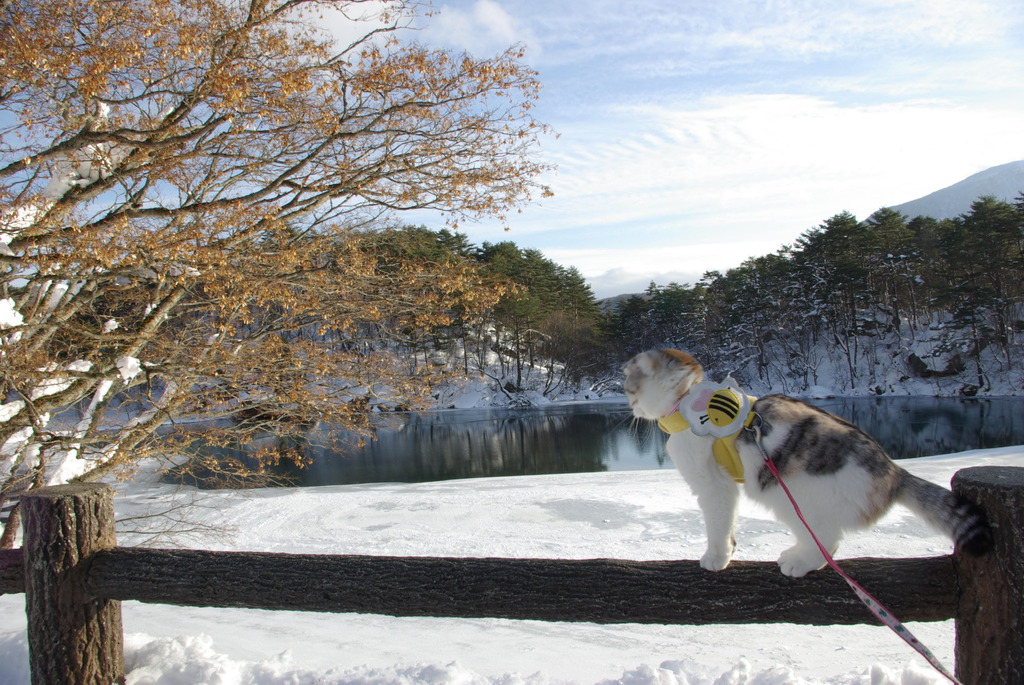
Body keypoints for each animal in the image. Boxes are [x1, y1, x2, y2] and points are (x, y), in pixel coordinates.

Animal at [622, 348, 991, 577]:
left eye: (628, 388)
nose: (630, 407)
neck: (687, 403)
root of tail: (894, 472)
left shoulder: (715, 487)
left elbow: (718, 525)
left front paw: (716, 557)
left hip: (788, 495)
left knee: (828, 542)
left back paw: (799, 561)